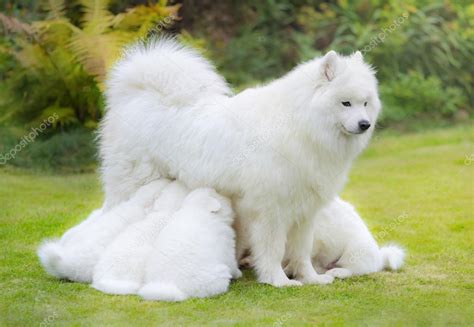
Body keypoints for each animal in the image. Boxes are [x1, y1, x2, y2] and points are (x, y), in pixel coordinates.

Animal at [100, 38, 382, 288]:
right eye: (345, 103)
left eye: (365, 103)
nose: (365, 124)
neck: (300, 123)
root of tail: (141, 96)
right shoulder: (271, 210)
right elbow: (273, 249)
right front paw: (277, 280)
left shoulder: (305, 211)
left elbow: (301, 251)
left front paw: (311, 278)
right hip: (134, 186)